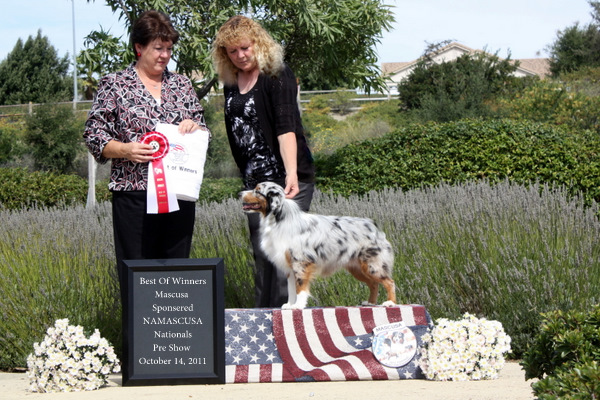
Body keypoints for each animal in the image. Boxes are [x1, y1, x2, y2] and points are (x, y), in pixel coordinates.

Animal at [241, 182, 397, 309]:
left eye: (257, 190)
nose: (239, 194)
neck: (279, 219)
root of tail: (374, 226)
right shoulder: (290, 267)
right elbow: (291, 289)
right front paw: (290, 305)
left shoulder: (300, 263)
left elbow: (300, 287)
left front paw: (298, 306)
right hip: (358, 268)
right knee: (374, 284)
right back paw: (370, 303)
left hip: (372, 265)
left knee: (389, 282)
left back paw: (390, 302)